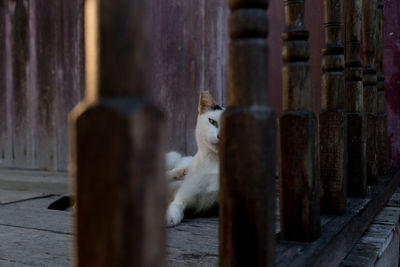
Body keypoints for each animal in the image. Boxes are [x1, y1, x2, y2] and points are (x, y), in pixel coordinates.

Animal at [164, 91, 223, 227]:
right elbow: (175, 206)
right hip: (172, 156)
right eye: (212, 121)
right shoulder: (182, 197)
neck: (215, 162)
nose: (220, 136)